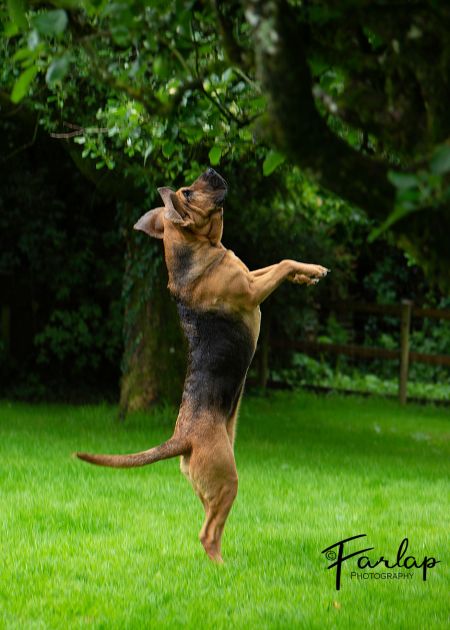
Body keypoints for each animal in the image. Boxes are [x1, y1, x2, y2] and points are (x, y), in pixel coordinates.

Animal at [77, 168, 328, 564]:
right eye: (189, 193)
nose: (211, 170)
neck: (198, 248)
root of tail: (182, 438)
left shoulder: (251, 273)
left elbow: (279, 264)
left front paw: (308, 275)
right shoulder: (251, 290)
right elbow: (284, 262)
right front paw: (312, 269)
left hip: (209, 488)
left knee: (210, 527)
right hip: (227, 478)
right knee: (207, 534)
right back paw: (224, 569)